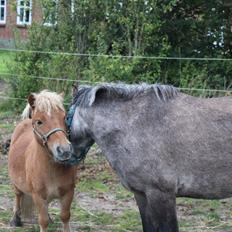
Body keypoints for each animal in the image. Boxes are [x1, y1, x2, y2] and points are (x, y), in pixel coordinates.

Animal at [8, 90, 76, 232]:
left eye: (64, 118)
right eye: (39, 122)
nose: (64, 150)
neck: (51, 169)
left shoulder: (68, 193)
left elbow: (65, 216)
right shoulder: (38, 196)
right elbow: (43, 221)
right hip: (16, 184)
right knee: (18, 195)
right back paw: (15, 220)